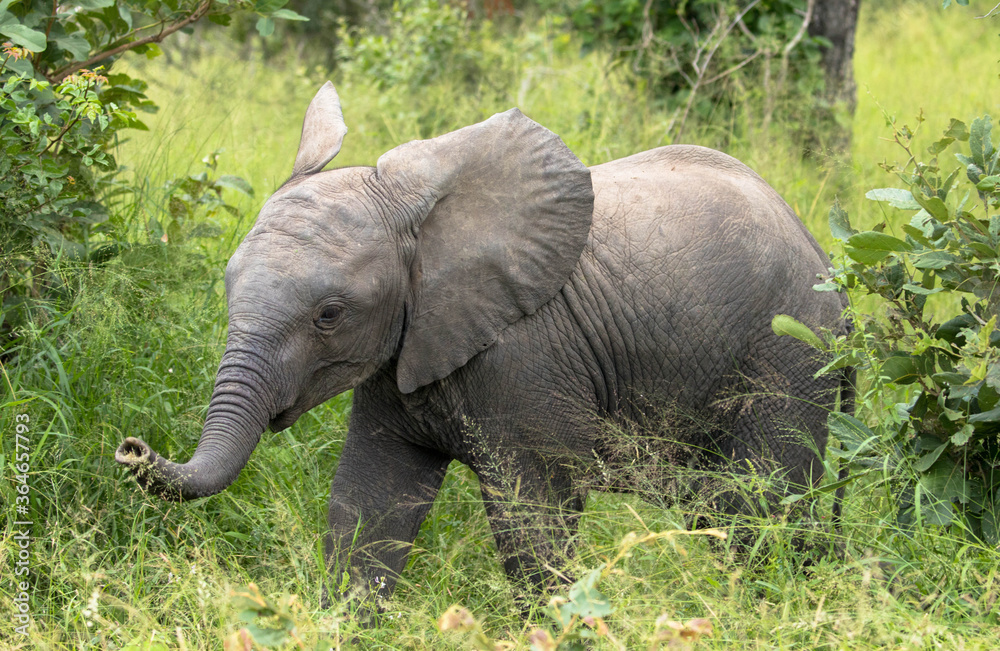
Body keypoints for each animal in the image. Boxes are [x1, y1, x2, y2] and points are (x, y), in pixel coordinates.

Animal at [119, 83, 852, 612]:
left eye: (329, 314)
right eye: (226, 286)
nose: (131, 447)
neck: (421, 226)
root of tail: (830, 266)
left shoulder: (526, 359)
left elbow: (532, 521)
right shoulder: (404, 351)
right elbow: (367, 505)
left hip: (787, 358)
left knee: (757, 511)